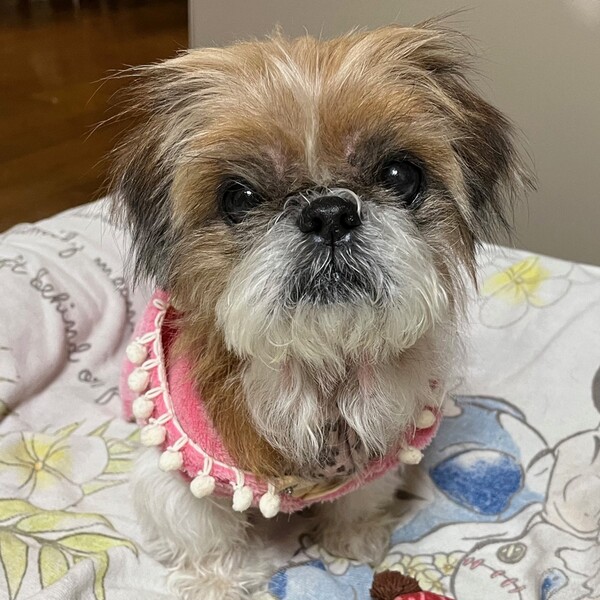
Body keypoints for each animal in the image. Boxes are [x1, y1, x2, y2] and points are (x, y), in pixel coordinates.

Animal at [111, 22, 528, 600]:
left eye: (400, 174)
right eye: (238, 196)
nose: (329, 212)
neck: (321, 373)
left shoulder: (382, 450)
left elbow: (360, 498)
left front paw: (351, 538)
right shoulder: (178, 467)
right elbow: (200, 527)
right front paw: (218, 581)